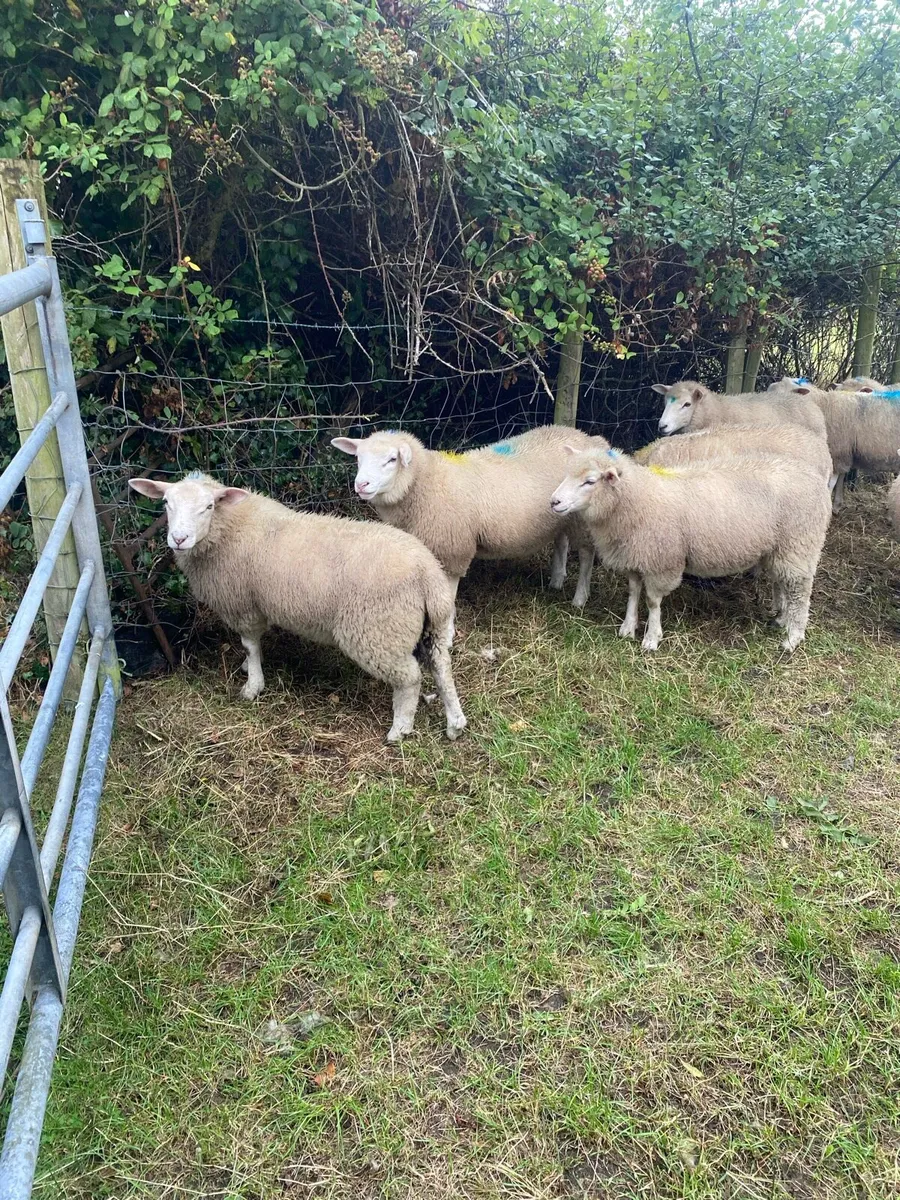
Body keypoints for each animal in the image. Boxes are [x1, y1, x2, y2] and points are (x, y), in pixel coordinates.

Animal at [128, 473, 466, 744]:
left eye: (209, 506)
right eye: (166, 503)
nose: (179, 539)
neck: (226, 530)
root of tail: (427, 572)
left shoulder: (243, 605)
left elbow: (250, 645)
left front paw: (252, 685)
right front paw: (248, 670)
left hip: (378, 632)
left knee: (410, 679)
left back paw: (400, 729)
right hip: (432, 626)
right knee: (441, 667)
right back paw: (455, 723)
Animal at [331, 426, 603, 621]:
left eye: (391, 459)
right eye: (358, 458)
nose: (361, 485)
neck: (426, 482)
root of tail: (590, 439)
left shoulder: (453, 551)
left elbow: (448, 596)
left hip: (582, 518)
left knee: (586, 555)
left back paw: (579, 598)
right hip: (561, 513)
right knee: (561, 540)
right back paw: (556, 580)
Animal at [549, 447, 831, 653]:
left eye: (590, 481)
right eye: (566, 474)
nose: (554, 501)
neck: (637, 499)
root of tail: (816, 479)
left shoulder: (661, 561)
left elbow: (652, 601)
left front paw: (651, 639)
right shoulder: (636, 556)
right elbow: (633, 593)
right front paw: (627, 628)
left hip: (799, 543)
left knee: (800, 591)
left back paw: (793, 637)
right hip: (781, 548)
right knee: (785, 583)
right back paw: (782, 619)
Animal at [769, 376, 900, 511]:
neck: (824, 406)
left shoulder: (838, 451)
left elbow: (830, 484)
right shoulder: (842, 453)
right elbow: (840, 478)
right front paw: (837, 504)